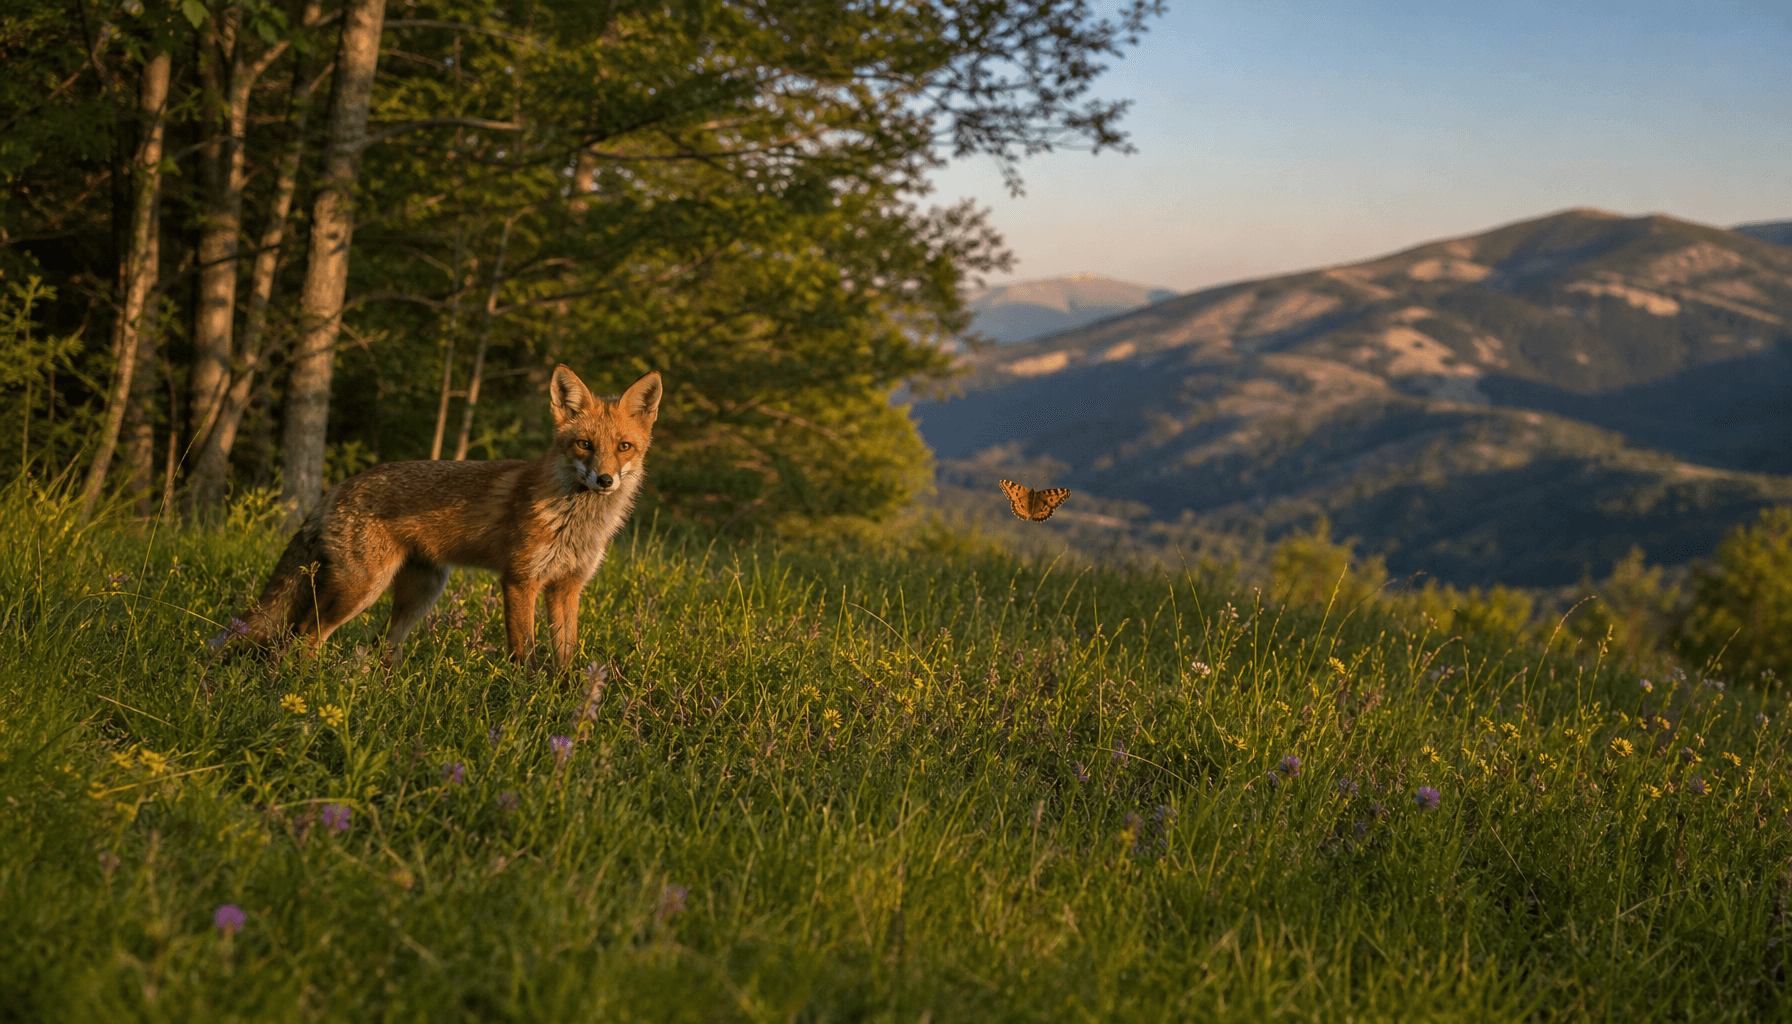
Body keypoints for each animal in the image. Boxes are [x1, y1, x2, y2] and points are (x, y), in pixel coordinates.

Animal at [235, 365, 661, 669]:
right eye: (584, 444)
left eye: (624, 447)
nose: (604, 480)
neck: (576, 522)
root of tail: (338, 486)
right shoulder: (520, 580)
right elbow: (524, 655)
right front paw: (524, 702)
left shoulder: (567, 587)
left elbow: (566, 656)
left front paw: (569, 702)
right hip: (361, 589)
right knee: (304, 634)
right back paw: (307, 686)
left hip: (421, 593)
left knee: (381, 647)